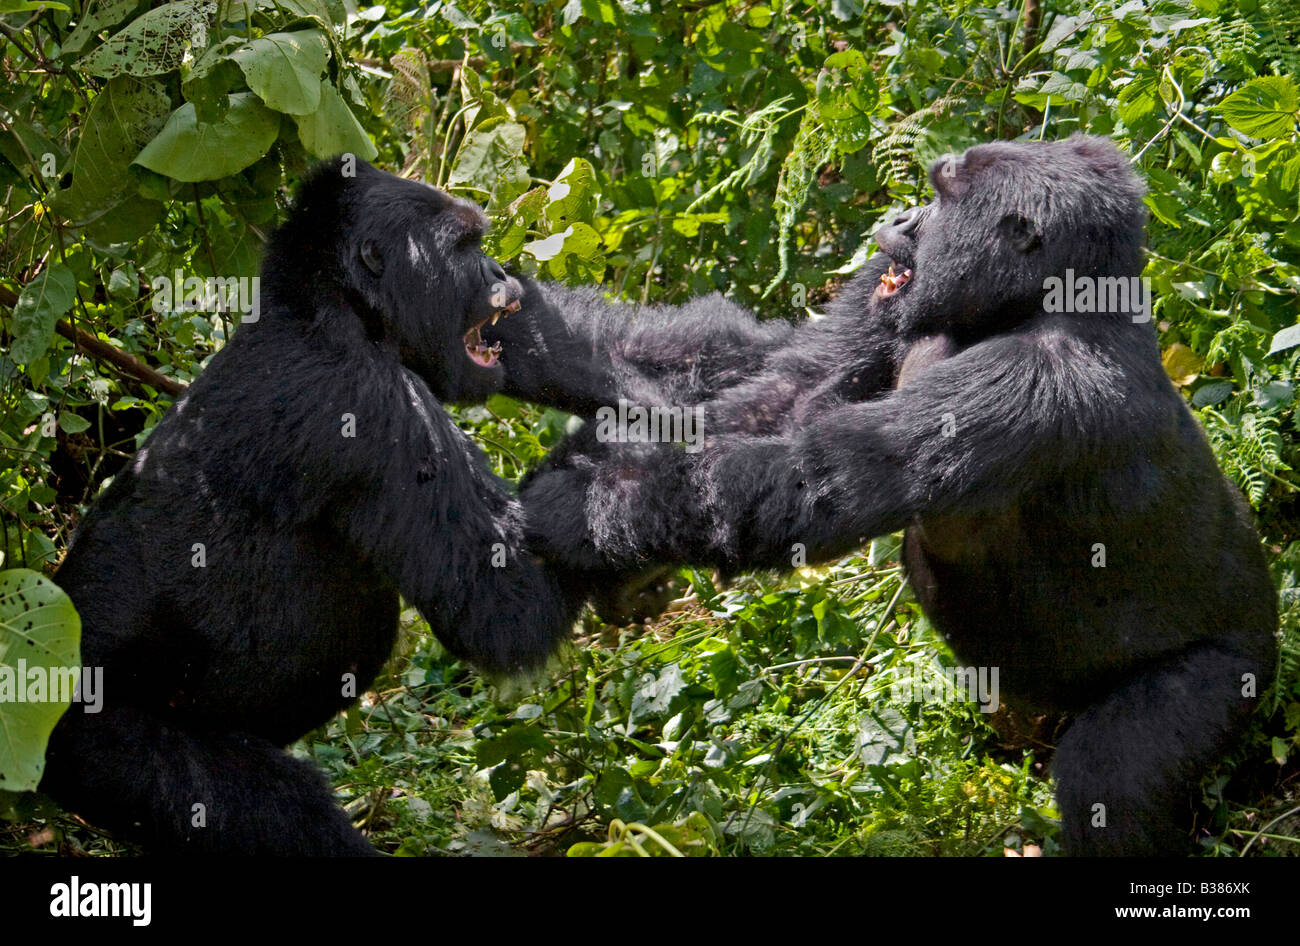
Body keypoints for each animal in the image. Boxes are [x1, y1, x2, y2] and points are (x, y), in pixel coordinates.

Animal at [40, 157, 579, 857]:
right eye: (464, 246)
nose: (500, 276)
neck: (330, 306)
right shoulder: (374, 399)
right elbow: (507, 607)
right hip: (100, 748)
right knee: (271, 805)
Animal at [488, 135, 1279, 857]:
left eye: (940, 196)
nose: (896, 218)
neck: (1039, 304)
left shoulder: (1038, 382)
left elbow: (810, 481)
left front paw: (572, 513)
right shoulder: (888, 303)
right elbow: (777, 378)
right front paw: (502, 321)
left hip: (1233, 672)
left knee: (1113, 776)